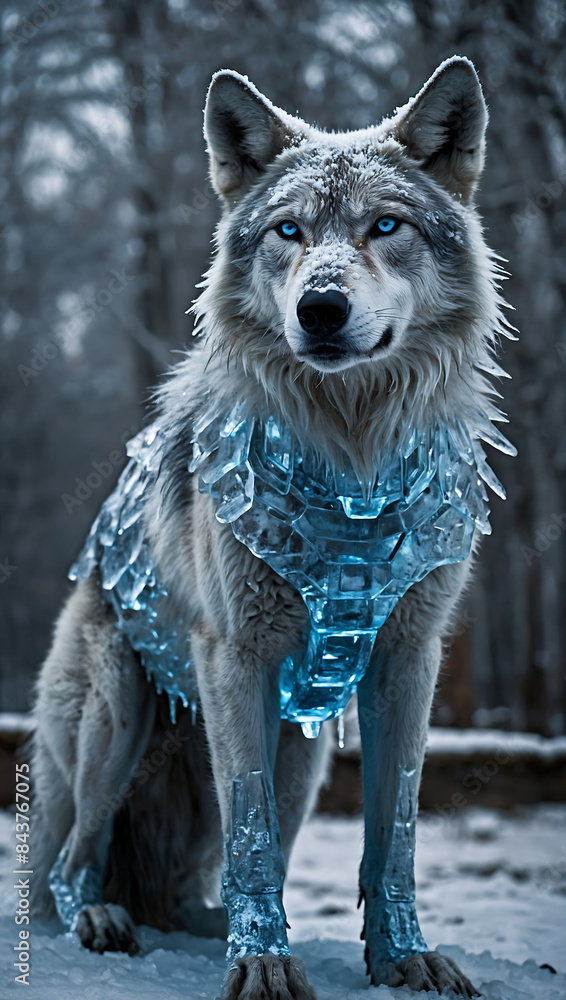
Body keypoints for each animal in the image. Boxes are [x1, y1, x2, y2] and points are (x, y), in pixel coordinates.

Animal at [32, 57, 514, 999]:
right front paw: (260, 965)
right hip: (119, 716)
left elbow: (394, 837)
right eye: (290, 231)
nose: (321, 307)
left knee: (209, 877)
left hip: (304, 759)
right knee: (77, 858)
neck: (353, 459)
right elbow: (249, 837)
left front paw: (403, 958)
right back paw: (105, 920)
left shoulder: (408, 657)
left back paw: (199, 924)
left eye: (385, 225)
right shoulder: (235, 658)